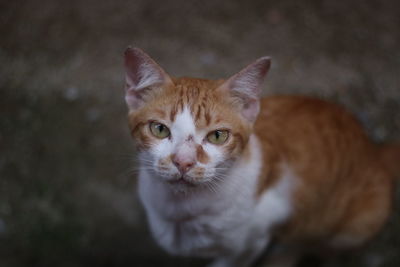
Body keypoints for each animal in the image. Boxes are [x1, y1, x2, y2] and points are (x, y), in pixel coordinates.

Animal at [123, 47, 398, 266]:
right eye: (159, 129)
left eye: (217, 136)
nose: (183, 162)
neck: (179, 210)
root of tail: (373, 148)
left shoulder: (253, 242)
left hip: (359, 222)